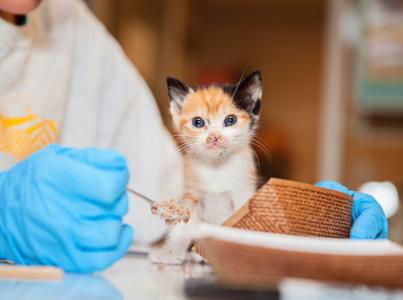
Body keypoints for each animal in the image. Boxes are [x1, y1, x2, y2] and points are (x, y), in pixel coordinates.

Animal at [150, 71, 264, 264]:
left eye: (230, 120)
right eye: (198, 122)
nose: (214, 136)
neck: (217, 166)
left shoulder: (242, 194)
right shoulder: (192, 196)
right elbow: (183, 226)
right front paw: (171, 252)